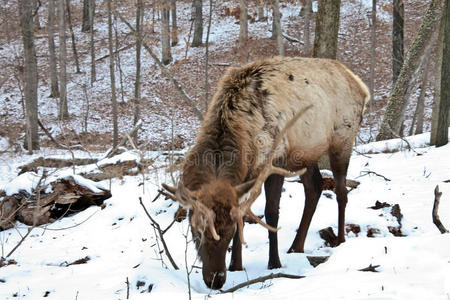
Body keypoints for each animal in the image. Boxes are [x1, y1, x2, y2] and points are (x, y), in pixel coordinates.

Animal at [162, 56, 370, 290]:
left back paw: (340, 240)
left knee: (341, 191)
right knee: (314, 187)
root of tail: (361, 86)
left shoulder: (276, 159)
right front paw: (236, 265)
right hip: (305, 152)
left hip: (342, 139)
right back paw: (295, 247)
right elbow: (243, 213)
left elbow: (271, 212)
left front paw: (274, 263)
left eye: (228, 232)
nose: (216, 279)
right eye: (196, 231)